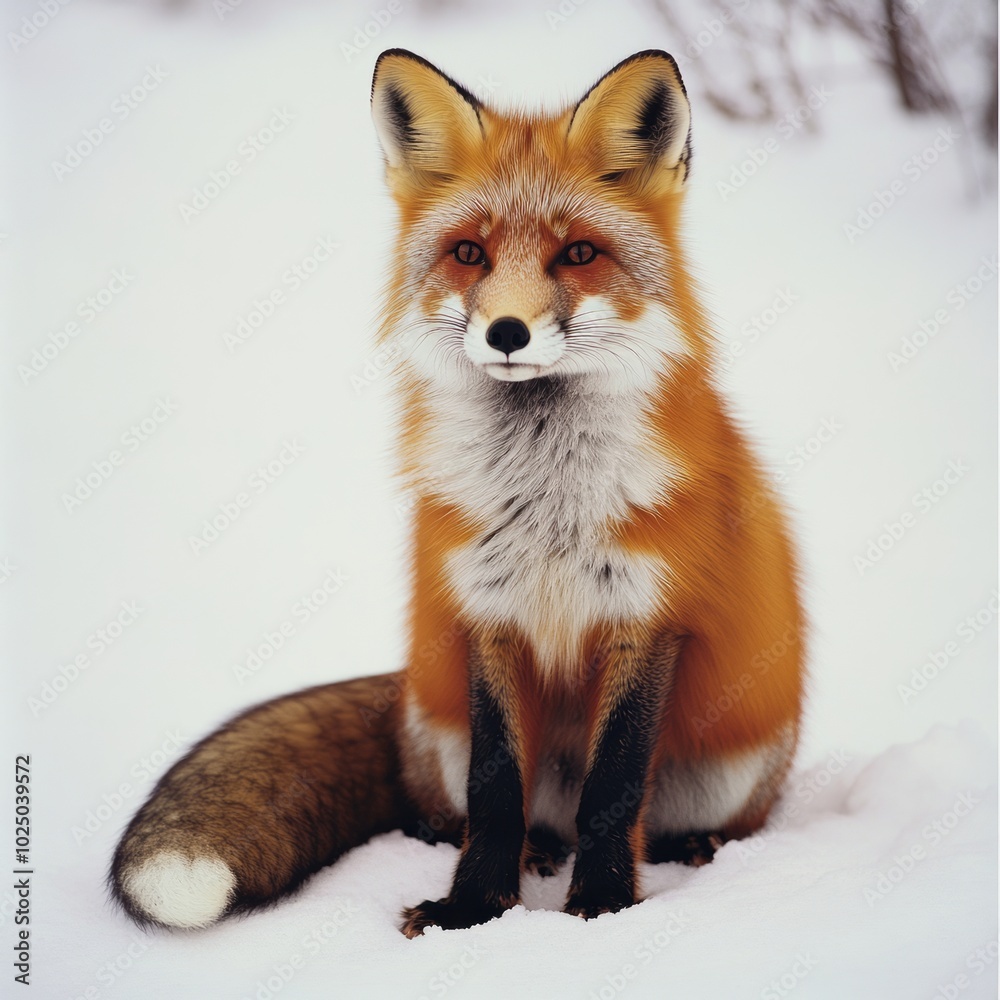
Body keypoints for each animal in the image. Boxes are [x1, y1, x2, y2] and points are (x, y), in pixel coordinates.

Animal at [110, 48, 805, 936]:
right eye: (470, 254)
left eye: (578, 254)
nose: (507, 332)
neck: (545, 499)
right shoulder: (487, 612)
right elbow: (495, 789)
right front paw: (475, 907)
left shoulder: (646, 619)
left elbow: (614, 790)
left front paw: (604, 905)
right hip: (436, 725)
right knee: (474, 808)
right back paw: (514, 849)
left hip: (732, 767)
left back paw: (687, 848)